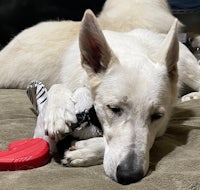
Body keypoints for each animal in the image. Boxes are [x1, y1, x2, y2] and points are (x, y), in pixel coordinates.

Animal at [0, 0, 199, 185]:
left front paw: (88, 150)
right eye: (113, 108)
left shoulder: (162, 128)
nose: (129, 176)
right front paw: (57, 112)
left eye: (157, 116)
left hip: (188, 68)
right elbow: (57, 87)